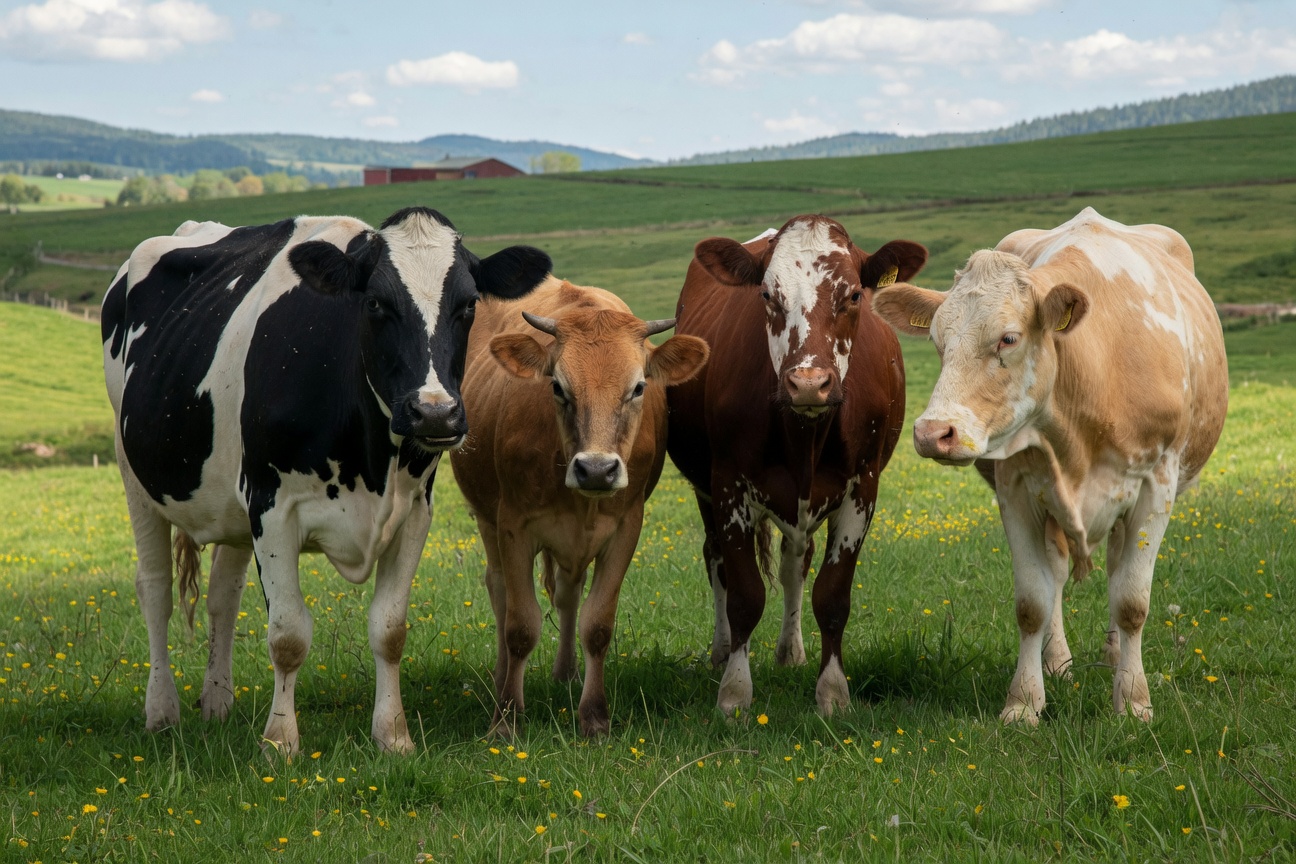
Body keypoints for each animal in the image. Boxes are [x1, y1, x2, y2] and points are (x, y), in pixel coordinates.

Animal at [101, 208, 551, 755]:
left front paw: (393, 736)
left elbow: (389, 629)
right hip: (133, 471)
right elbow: (288, 634)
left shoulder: (414, 511)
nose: (434, 413)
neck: (370, 458)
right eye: (376, 303)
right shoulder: (272, 507)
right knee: (156, 589)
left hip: (229, 501)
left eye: (468, 305)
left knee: (223, 597)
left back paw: (217, 702)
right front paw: (280, 742)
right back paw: (162, 710)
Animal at [450, 276, 708, 736]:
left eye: (638, 387)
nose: (597, 470)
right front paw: (506, 719)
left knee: (568, 595)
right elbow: (520, 626)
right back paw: (501, 677)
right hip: (486, 518)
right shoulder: (514, 525)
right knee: (499, 591)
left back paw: (566, 673)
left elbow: (597, 625)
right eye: (558, 386)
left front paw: (594, 717)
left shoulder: (625, 528)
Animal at [666, 216, 928, 716]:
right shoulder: (727, 485)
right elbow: (744, 595)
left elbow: (832, 595)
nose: (808, 383)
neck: (805, 433)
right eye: (768, 295)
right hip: (705, 489)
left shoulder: (862, 489)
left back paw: (791, 650)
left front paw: (832, 692)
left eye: (854, 295)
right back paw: (722, 651)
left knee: (794, 564)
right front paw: (734, 693)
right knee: (716, 561)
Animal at [872, 207, 1228, 724]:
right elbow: (1032, 603)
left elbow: (1132, 601)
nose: (933, 432)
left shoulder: (1156, 486)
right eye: (937, 341)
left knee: (1115, 568)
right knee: (1058, 574)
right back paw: (1058, 662)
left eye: (1008, 338)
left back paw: (1114, 656)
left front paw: (1133, 701)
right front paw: (1024, 702)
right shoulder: (1017, 491)